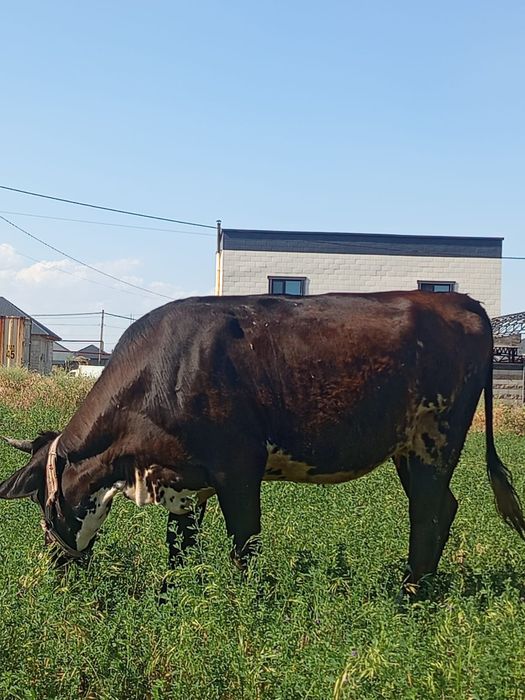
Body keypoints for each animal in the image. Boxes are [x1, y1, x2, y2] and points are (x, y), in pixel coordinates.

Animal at [1, 291, 524, 597]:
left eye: (44, 505)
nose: (52, 566)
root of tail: (465, 303)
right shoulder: (183, 483)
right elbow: (179, 549)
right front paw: (173, 597)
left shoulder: (239, 469)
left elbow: (243, 544)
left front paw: (240, 607)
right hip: (408, 449)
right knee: (443, 507)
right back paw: (422, 588)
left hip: (436, 438)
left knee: (427, 513)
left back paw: (408, 595)